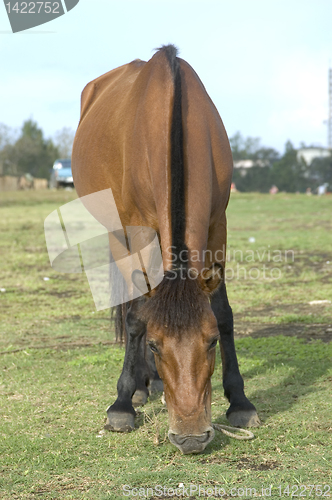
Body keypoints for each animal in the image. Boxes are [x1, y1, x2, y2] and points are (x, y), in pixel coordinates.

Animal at [71, 46, 260, 454]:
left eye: (211, 342)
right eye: (156, 346)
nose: (190, 437)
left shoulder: (217, 225)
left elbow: (223, 312)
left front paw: (240, 401)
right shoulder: (137, 230)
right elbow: (136, 318)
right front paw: (122, 404)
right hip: (118, 233)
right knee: (132, 302)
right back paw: (140, 387)